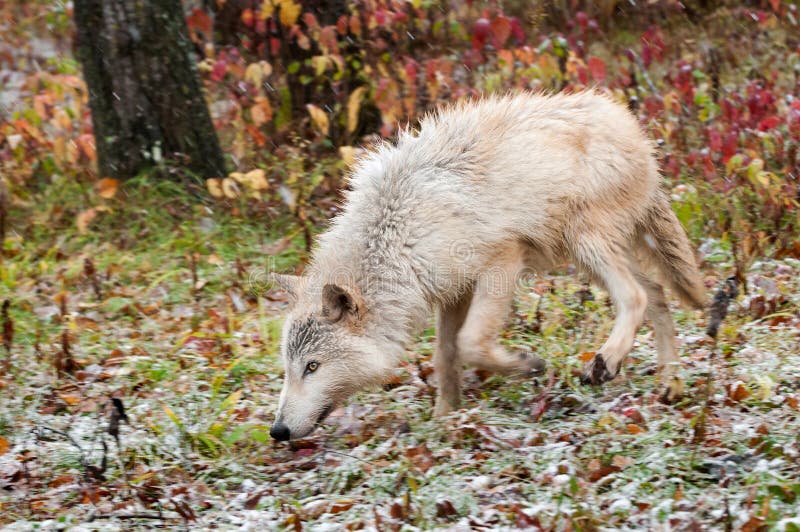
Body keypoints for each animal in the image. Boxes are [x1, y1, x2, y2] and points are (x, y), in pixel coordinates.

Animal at [268, 91, 705, 441]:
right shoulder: (451, 291)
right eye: (288, 368)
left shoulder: (501, 262)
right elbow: (445, 355)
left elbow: (472, 344)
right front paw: (445, 418)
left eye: (312, 366)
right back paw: (671, 385)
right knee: (657, 294)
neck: (398, 235)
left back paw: (607, 362)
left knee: (635, 296)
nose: (277, 431)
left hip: (586, 245)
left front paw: (528, 365)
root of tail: (634, 129)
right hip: (591, 255)